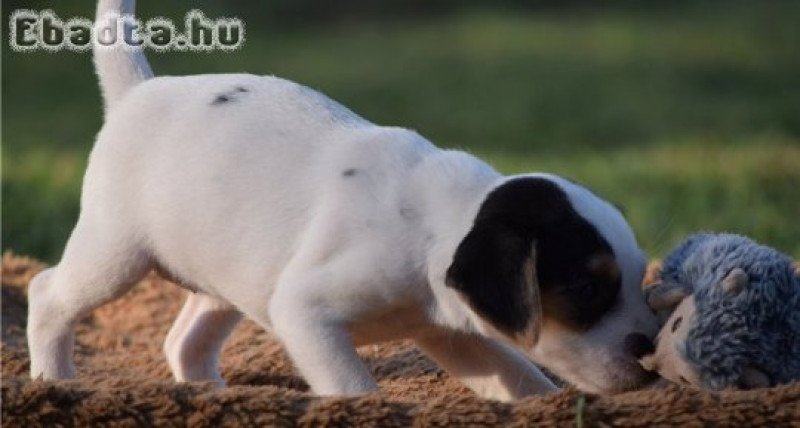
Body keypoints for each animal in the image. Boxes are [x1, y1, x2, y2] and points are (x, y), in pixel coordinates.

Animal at [28, 0, 660, 402]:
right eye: (585, 290)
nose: (651, 350)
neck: (436, 224)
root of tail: (139, 92)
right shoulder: (307, 312)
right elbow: (353, 388)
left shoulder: (452, 336)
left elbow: (522, 381)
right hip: (115, 254)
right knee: (49, 294)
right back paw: (54, 378)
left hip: (227, 273)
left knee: (185, 340)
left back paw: (215, 397)